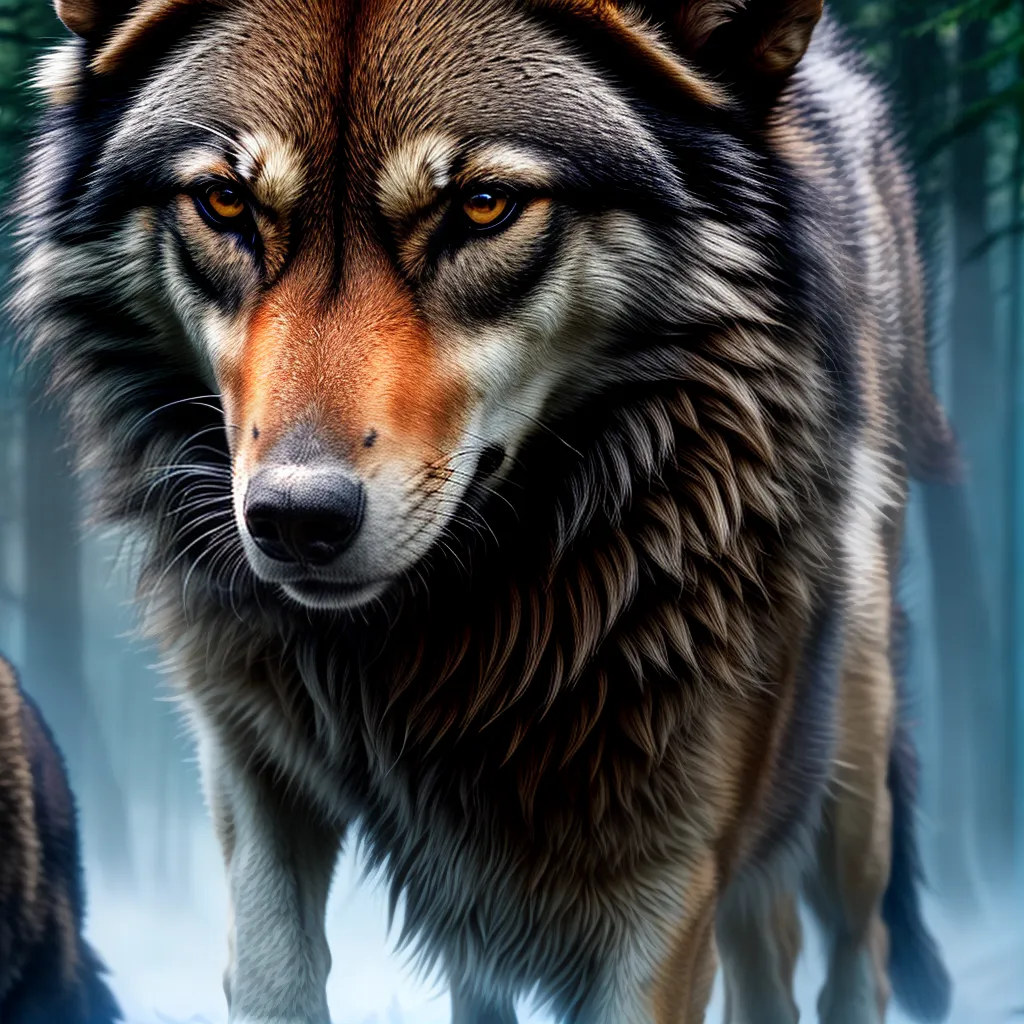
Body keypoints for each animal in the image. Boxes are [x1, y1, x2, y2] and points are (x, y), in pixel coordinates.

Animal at [14, 0, 954, 1020]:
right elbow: (272, 976)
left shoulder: (671, 881)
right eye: (225, 203)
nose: (296, 518)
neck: (471, 641)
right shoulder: (254, 771)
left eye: (484, 205)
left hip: (846, 760)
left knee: (852, 949)